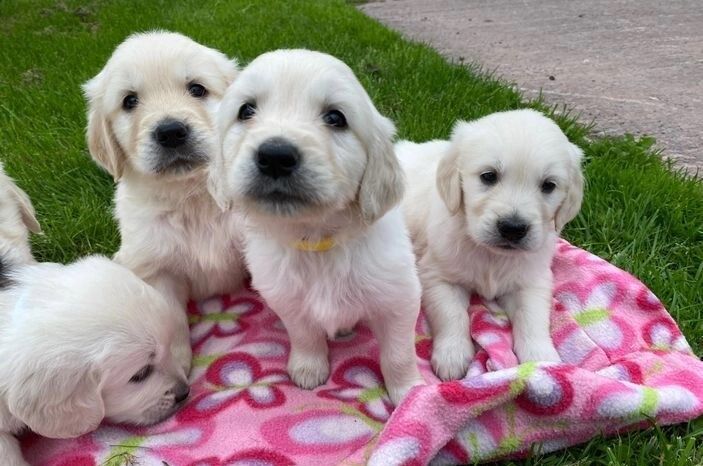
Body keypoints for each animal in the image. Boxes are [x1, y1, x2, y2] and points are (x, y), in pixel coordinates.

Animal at [209, 50, 426, 404]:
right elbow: (304, 334)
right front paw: (309, 369)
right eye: (246, 110)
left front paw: (409, 392)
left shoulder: (398, 298)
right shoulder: (286, 299)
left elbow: (398, 354)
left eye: (336, 118)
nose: (275, 155)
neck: (316, 239)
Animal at [398, 110, 584, 382]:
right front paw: (452, 355)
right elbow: (451, 315)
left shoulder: (532, 280)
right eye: (489, 176)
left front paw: (542, 359)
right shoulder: (437, 276)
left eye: (548, 185)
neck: (491, 255)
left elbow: (533, 318)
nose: (513, 228)